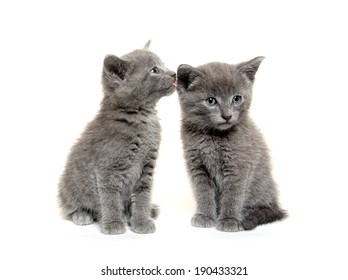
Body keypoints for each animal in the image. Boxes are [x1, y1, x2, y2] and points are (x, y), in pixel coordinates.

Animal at [58, 42, 177, 234]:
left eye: (163, 65)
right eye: (154, 70)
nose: (174, 73)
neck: (143, 117)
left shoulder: (147, 165)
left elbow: (143, 195)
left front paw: (141, 221)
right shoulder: (108, 167)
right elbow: (110, 197)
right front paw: (113, 223)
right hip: (68, 185)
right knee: (71, 206)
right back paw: (82, 215)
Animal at [177, 57, 286, 232]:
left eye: (237, 98)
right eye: (211, 101)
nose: (227, 115)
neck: (213, 136)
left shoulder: (238, 165)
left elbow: (232, 194)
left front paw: (229, 220)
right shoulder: (197, 166)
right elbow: (203, 192)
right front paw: (205, 216)